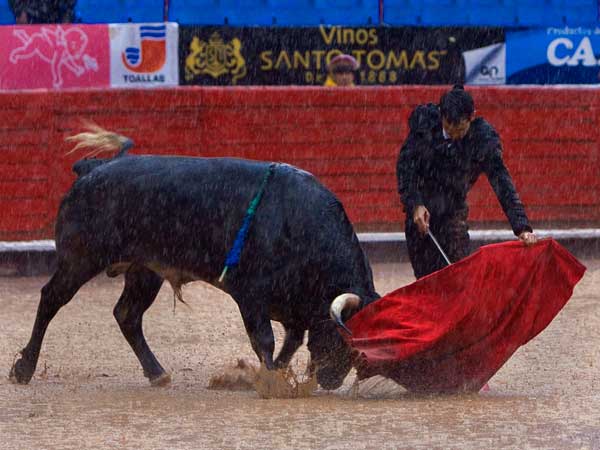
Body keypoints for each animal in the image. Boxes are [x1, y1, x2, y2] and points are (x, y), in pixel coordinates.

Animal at [9, 152, 380, 390]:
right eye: (343, 337)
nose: (331, 381)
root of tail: (92, 168)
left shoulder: (293, 308)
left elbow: (290, 343)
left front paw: (276, 375)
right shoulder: (251, 296)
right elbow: (265, 340)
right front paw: (271, 382)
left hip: (145, 271)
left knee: (127, 314)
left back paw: (157, 373)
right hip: (80, 259)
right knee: (51, 299)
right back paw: (23, 369)